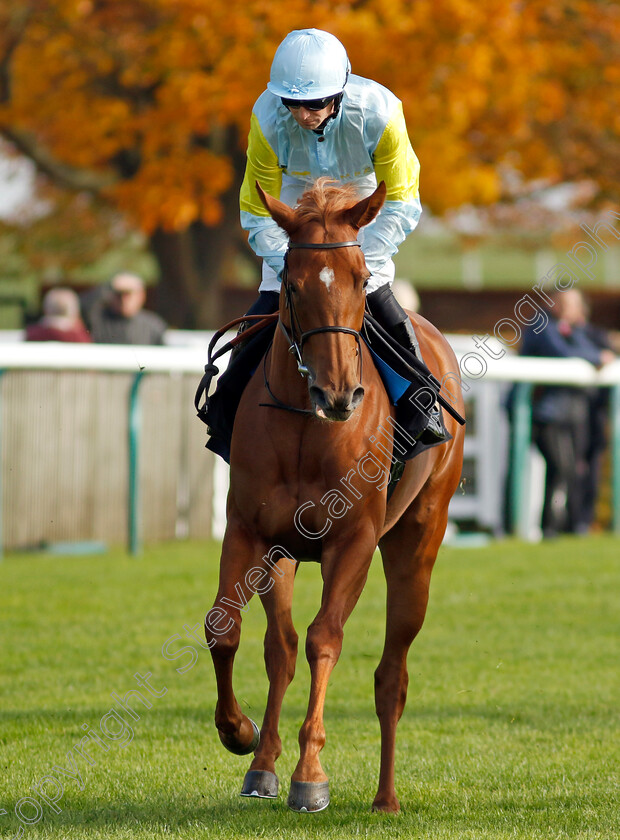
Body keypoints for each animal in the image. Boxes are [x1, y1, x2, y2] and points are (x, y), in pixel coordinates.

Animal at [206, 177, 462, 812]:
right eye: (292, 285)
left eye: (361, 279)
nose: (340, 393)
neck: (308, 428)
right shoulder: (251, 531)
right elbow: (228, 630)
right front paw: (242, 735)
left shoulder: (353, 542)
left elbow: (326, 639)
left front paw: (311, 773)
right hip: (284, 554)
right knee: (280, 648)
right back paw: (263, 764)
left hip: (416, 546)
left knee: (392, 674)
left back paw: (386, 797)